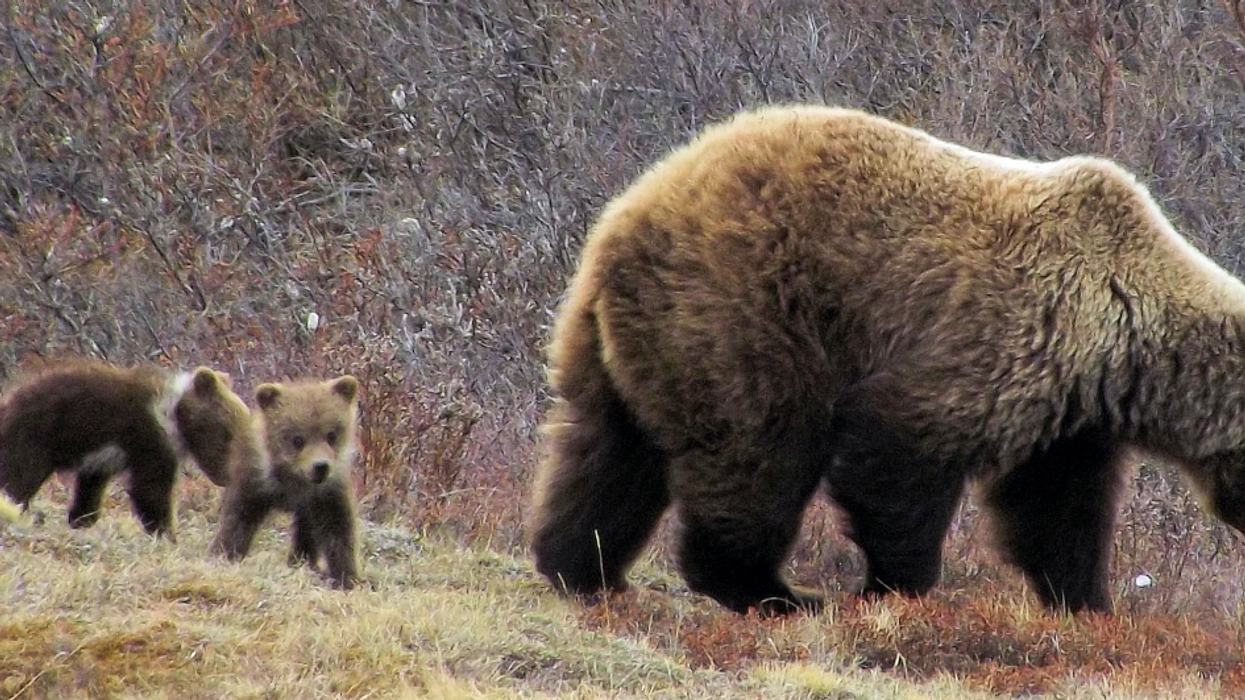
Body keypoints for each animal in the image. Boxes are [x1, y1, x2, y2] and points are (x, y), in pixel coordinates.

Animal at [0, 361, 252, 537]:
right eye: (227, 432)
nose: (227, 476)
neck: (174, 418)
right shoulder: (148, 440)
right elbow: (150, 491)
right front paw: (167, 533)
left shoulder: (101, 460)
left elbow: (90, 491)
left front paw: (81, 519)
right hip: (35, 436)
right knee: (18, 477)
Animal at [210, 375, 362, 589]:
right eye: (297, 439)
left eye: (331, 434)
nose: (320, 466)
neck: (293, 482)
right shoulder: (255, 483)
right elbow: (238, 519)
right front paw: (223, 552)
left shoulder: (327, 494)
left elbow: (338, 530)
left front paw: (346, 577)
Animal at [528, 104, 1245, 616]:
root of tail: (630, 212)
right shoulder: (997, 336)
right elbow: (897, 452)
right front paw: (896, 586)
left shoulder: (1065, 412)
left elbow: (1055, 507)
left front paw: (1087, 602)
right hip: (746, 311)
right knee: (757, 448)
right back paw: (775, 593)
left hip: (620, 337)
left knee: (603, 451)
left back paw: (580, 568)